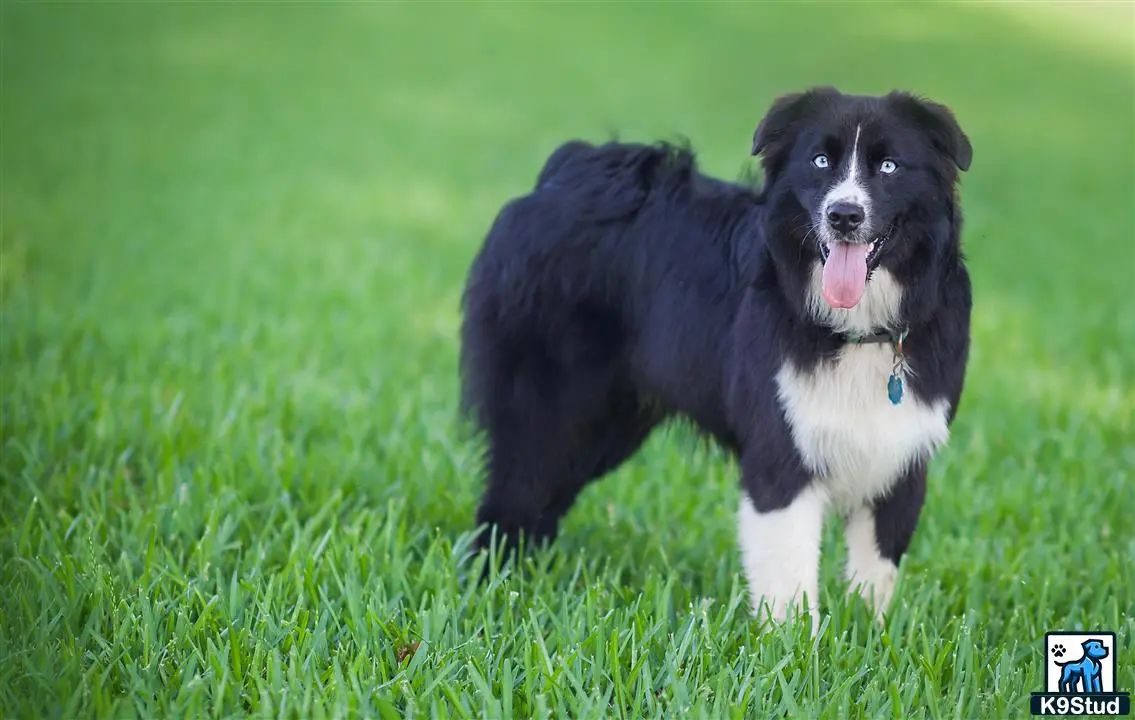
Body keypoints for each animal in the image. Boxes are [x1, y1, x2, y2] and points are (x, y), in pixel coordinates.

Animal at [456, 86, 971, 626]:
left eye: (889, 166)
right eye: (820, 161)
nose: (844, 215)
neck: (858, 332)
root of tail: (564, 171)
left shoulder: (901, 457)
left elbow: (875, 576)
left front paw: (870, 633)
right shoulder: (778, 450)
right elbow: (789, 579)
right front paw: (794, 645)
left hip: (609, 424)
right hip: (554, 407)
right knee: (514, 492)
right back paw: (495, 585)